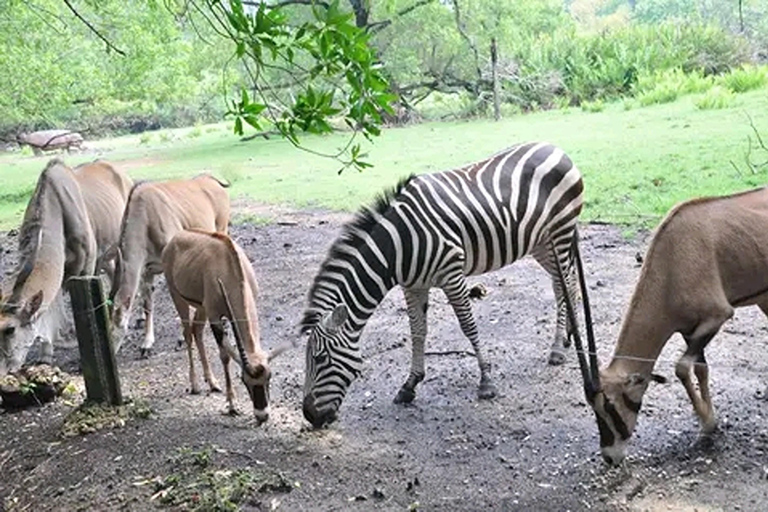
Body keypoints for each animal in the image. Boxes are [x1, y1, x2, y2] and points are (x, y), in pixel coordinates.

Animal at [0, 160, 132, 376]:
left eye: (10, 329)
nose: (3, 370)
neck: (57, 207)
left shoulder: (85, 270)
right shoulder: (61, 275)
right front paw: (45, 357)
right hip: (108, 257)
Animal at [106, 174, 230, 354]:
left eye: (112, 331)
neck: (145, 216)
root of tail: (212, 180)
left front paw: (181, 338)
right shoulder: (146, 271)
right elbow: (147, 304)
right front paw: (147, 343)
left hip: (222, 228)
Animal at [162, 230, 292, 422]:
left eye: (269, 377)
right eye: (244, 380)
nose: (262, 415)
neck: (230, 268)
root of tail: (175, 239)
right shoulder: (216, 317)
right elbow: (225, 356)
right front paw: (232, 405)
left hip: (201, 307)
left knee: (196, 331)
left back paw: (212, 382)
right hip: (178, 297)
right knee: (187, 333)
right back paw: (195, 384)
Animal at [300, 141, 584, 428]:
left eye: (320, 359)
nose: (309, 416)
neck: (398, 246)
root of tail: (555, 147)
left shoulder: (452, 274)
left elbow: (468, 326)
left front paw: (486, 382)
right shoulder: (413, 285)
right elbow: (417, 331)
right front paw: (409, 385)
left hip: (559, 233)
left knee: (562, 285)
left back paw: (557, 349)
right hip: (541, 243)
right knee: (567, 282)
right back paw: (568, 336)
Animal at [568, 187, 768, 464]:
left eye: (609, 405)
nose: (609, 456)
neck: (671, 265)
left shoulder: (717, 316)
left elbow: (682, 368)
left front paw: (707, 424)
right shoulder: (690, 330)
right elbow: (701, 369)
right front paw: (710, 423)